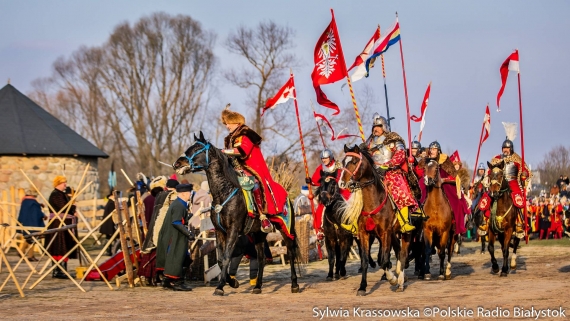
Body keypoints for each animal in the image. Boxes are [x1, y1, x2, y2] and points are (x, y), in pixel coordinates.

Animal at [171, 131, 300, 294]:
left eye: (197, 149)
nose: (177, 164)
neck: (224, 193)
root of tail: (286, 194)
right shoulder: (220, 231)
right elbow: (221, 260)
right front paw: (232, 282)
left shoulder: (233, 230)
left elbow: (227, 257)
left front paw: (220, 287)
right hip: (258, 233)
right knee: (261, 257)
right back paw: (257, 286)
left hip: (285, 228)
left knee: (291, 252)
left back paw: (294, 284)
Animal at [338, 144, 400, 294]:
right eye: (343, 162)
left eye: (354, 162)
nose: (342, 183)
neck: (374, 202)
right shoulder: (364, 234)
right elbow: (365, 260)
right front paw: (362, 287)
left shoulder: (385, 233)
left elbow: (384, 260)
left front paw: (392, 278)